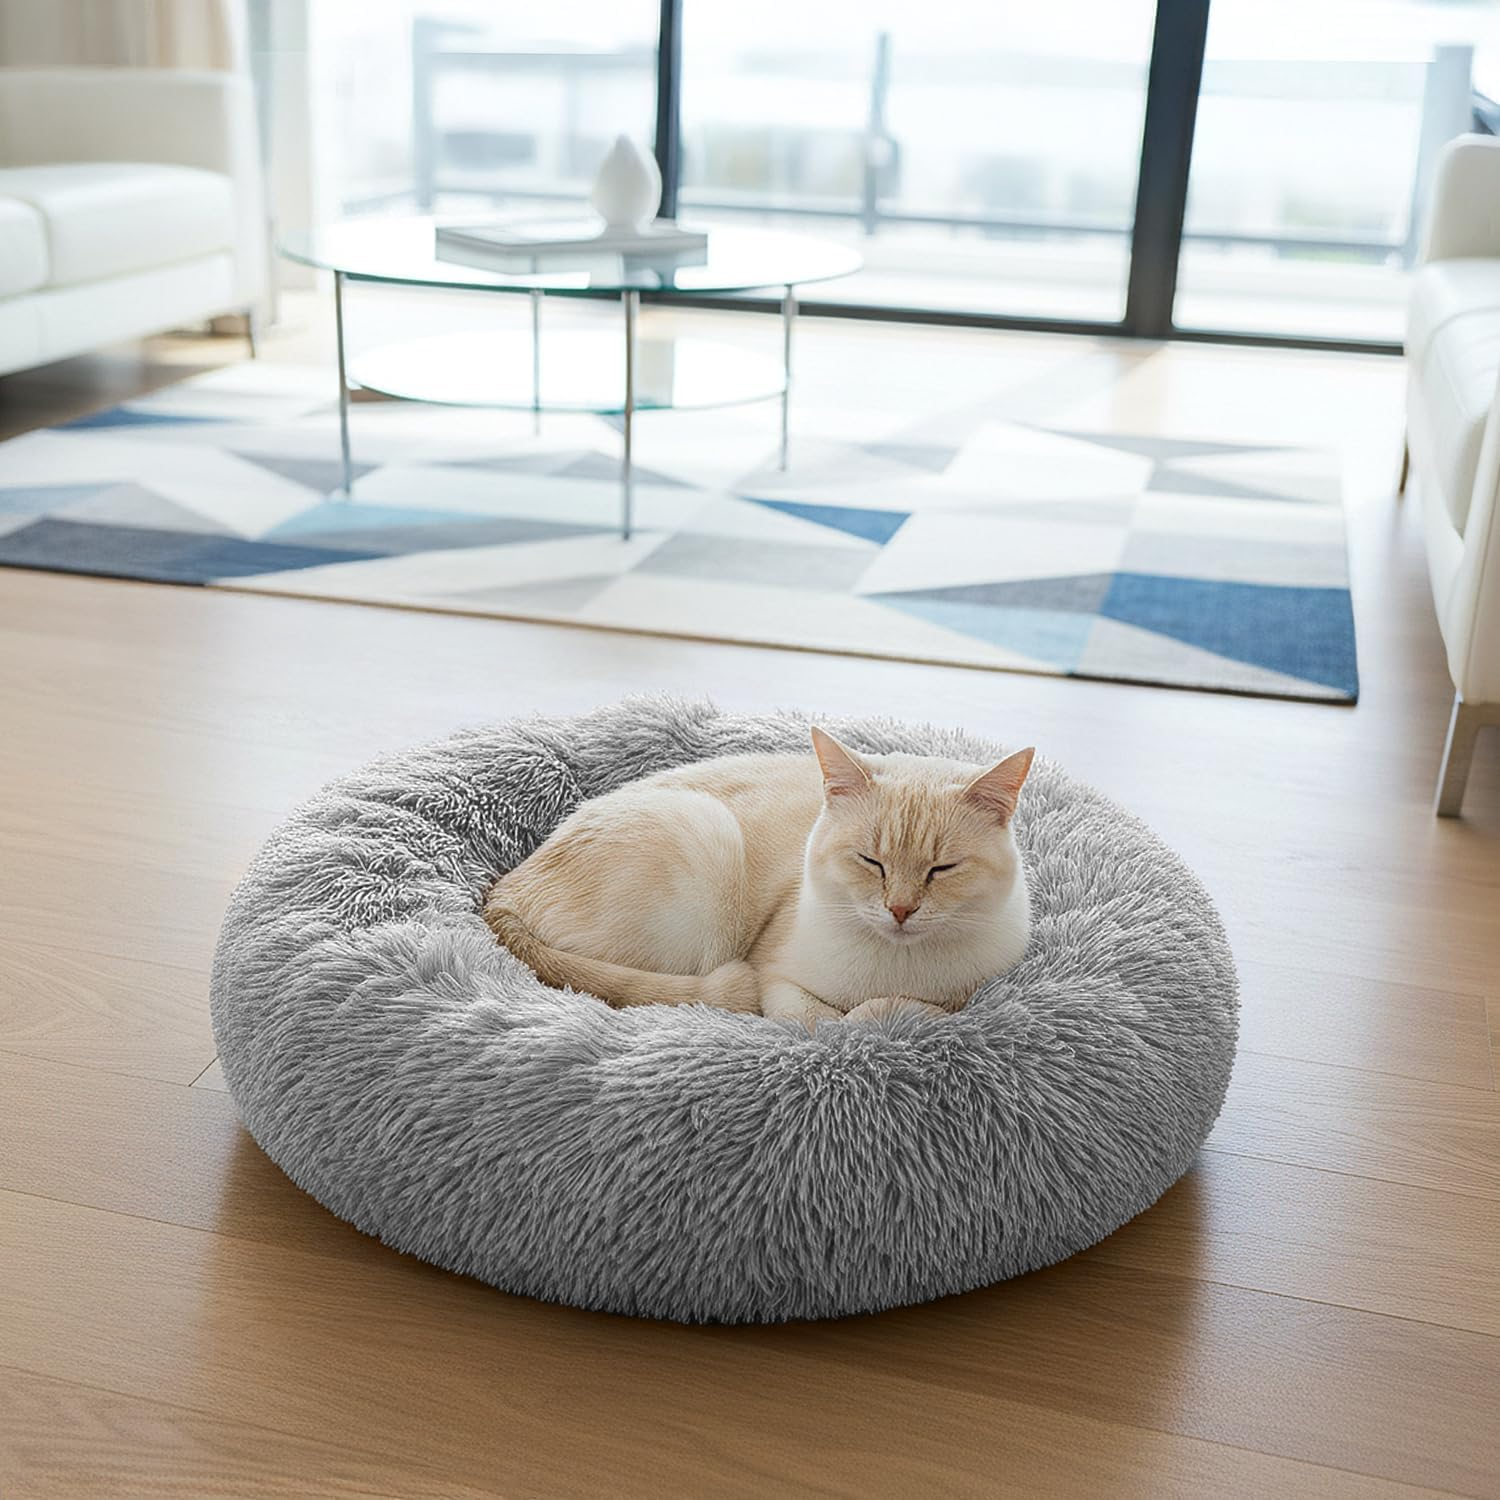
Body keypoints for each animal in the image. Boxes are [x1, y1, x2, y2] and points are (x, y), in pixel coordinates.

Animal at [484, 727, 1034, 1028]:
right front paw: (847, 1024)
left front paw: (873, 1015)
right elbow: (819, 1020)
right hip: (706, 839)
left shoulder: (968, 996)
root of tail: (502, 892)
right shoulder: (775, 976)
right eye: (870, 861)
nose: (900, 909)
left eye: (943, 869)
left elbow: (901, 1009)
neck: (897, 964)